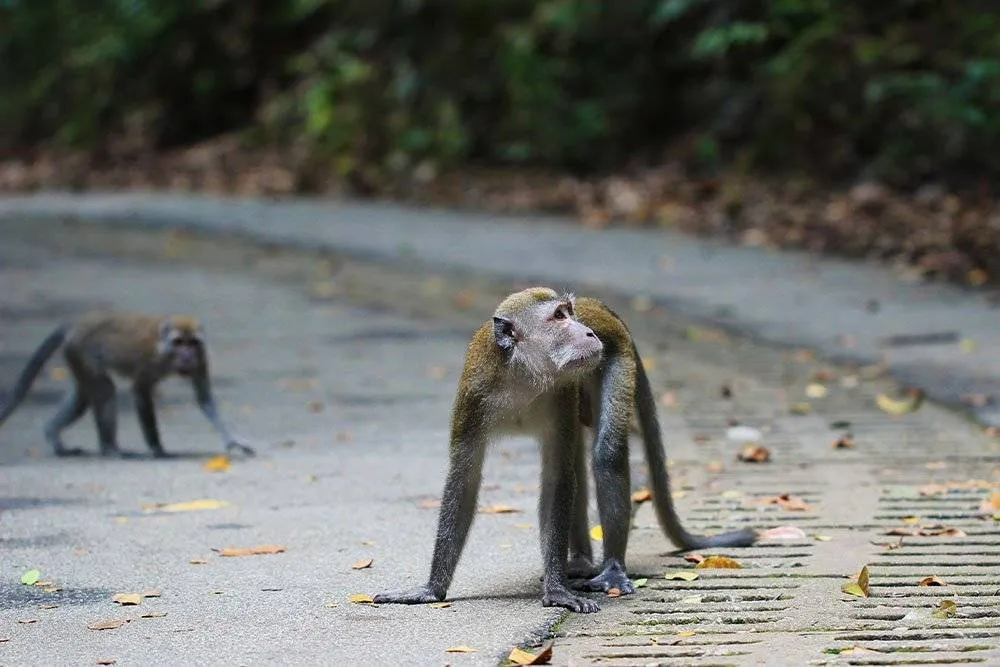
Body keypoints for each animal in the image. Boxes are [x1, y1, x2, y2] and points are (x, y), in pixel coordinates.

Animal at [0, 312, 255, 459]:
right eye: (179, 342)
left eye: (192, 342)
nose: (186, 356)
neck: (166, 352)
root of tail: (78, 324)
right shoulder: (151, 362)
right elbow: (140, 392)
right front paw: (157, 448)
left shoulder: (202, 360)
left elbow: (205, 399)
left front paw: (233, 441)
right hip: (81, 350)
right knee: (105, 391)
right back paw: (109, 448)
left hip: (75, 355)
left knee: (83, 397)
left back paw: (55, 438)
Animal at [374, 288, 755, 614]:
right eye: (558, 317)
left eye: (568, 312)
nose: (588, 333)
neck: (523, 377)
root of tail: (600, 308)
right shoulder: (474, 395)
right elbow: (465, 478)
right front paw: (432, 589)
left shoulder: (560, 396)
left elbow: (559, 478)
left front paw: (556, 591)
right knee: (579, 464)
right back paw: (582, 561)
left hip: (617, 360)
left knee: (605, 456)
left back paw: (610, 568)